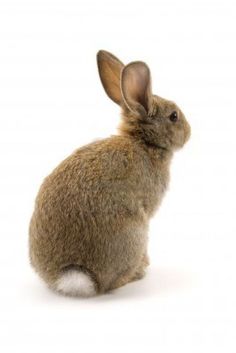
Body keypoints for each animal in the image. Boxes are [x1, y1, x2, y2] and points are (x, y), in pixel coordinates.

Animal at [29, 49, 191, 296]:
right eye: (174, 116)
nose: (190, 132)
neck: (143, 142)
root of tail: (72, 273)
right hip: (136, 232)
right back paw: (138, 271)